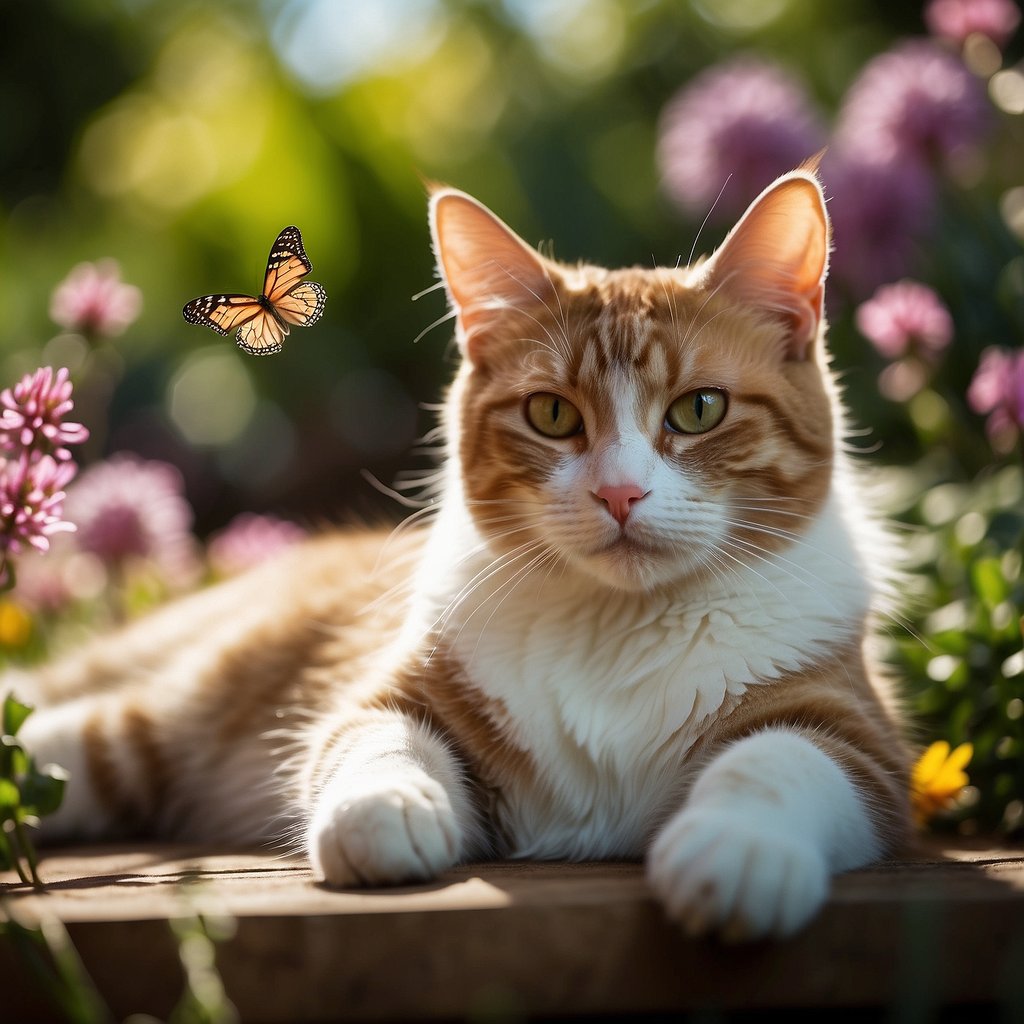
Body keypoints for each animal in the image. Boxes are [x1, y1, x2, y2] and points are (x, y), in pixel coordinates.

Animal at [9, 165, 913, 937]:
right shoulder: (393, 691)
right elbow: (377, 741)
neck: (618, 623)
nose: (620, 494)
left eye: (699, 410)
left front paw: (738, 851)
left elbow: (778, 761)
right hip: (167, 712)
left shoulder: (861, 741)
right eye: (552, 415)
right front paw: (388, 811)